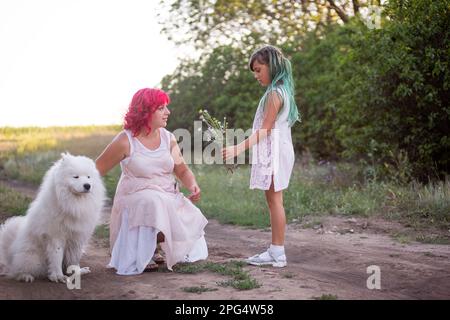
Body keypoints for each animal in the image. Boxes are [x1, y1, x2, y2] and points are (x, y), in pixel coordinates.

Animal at [0, 153, 105, 282]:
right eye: (76, 177)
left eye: (88, 177)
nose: (87, 185)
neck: (74, 204)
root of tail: (10, 253)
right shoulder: (55, 236)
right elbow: (56, 257)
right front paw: (58, 276)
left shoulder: (77, 238)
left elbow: (74, 259)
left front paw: (77, 271)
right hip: (32, 258)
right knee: (16, 270)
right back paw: (25, 276)